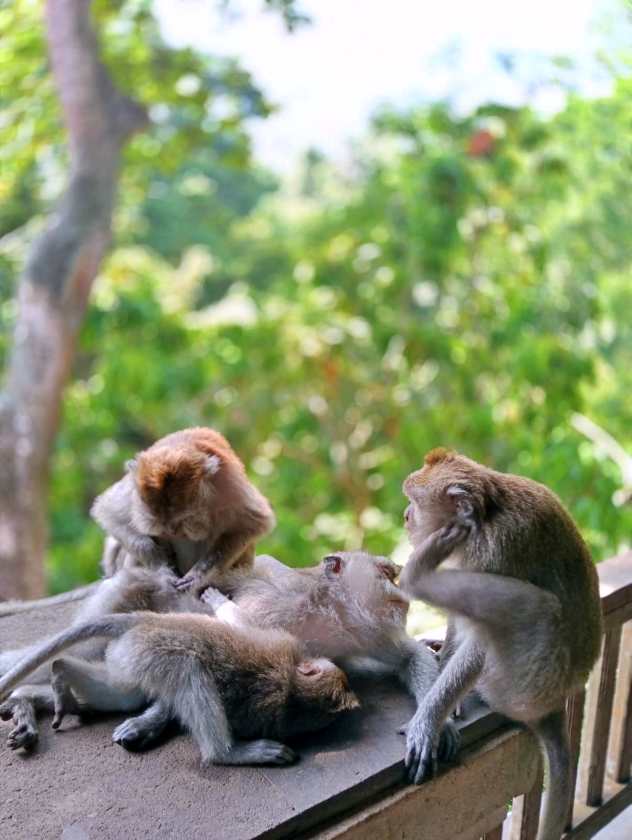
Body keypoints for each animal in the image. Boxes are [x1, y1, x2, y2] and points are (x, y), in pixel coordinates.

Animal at [0, 609, 359, 768]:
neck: (293, 690)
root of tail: (142, 621)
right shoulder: (284, 643)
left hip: (136, 654)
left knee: (130, 688)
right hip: (138, 651)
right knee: (177, 674)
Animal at [91, 427, 276, 590]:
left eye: (183, 521)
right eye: (158, 523)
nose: (171, 532)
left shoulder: (229, 485)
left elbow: (253, 524)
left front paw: (198, 575)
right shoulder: (133, 486)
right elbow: (109, 513)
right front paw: (162, 568)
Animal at [398, 448, 602, 840]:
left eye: (413, 500)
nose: (405, 518)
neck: (486, 516)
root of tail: (551, 705)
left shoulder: (496, 555)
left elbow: (478, 642)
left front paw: (430, 716)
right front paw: (442, 672)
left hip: (524, 682)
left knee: (536, 607)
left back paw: (417, 576)